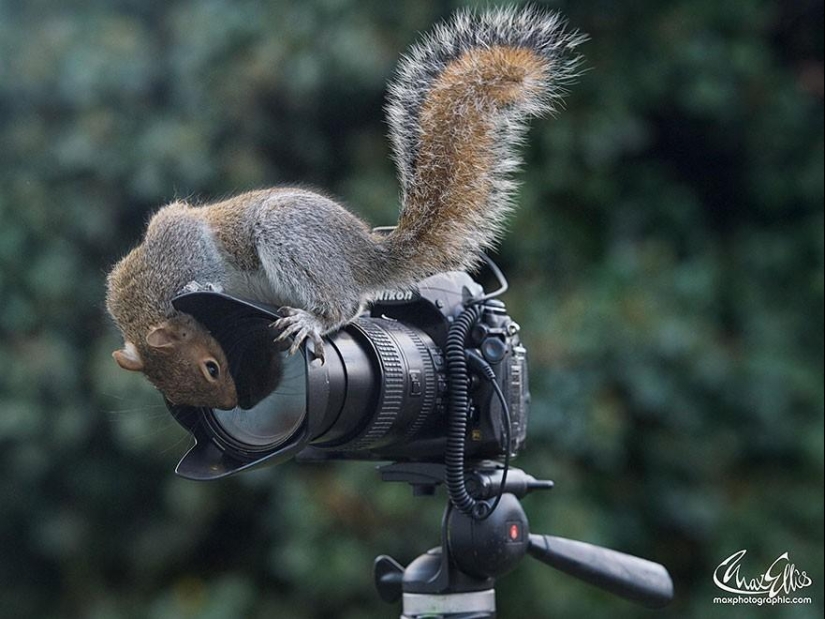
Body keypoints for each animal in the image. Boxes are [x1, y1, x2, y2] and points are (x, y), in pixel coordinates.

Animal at [106, 6, 585, 410]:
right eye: (177, 396)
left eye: (211, 367)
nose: (230, 406)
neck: (147, 293)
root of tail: (367, 256)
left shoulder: (184, 242)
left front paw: (203, 285)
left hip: (289, 236)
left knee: (345, 305)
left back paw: (312, 321)